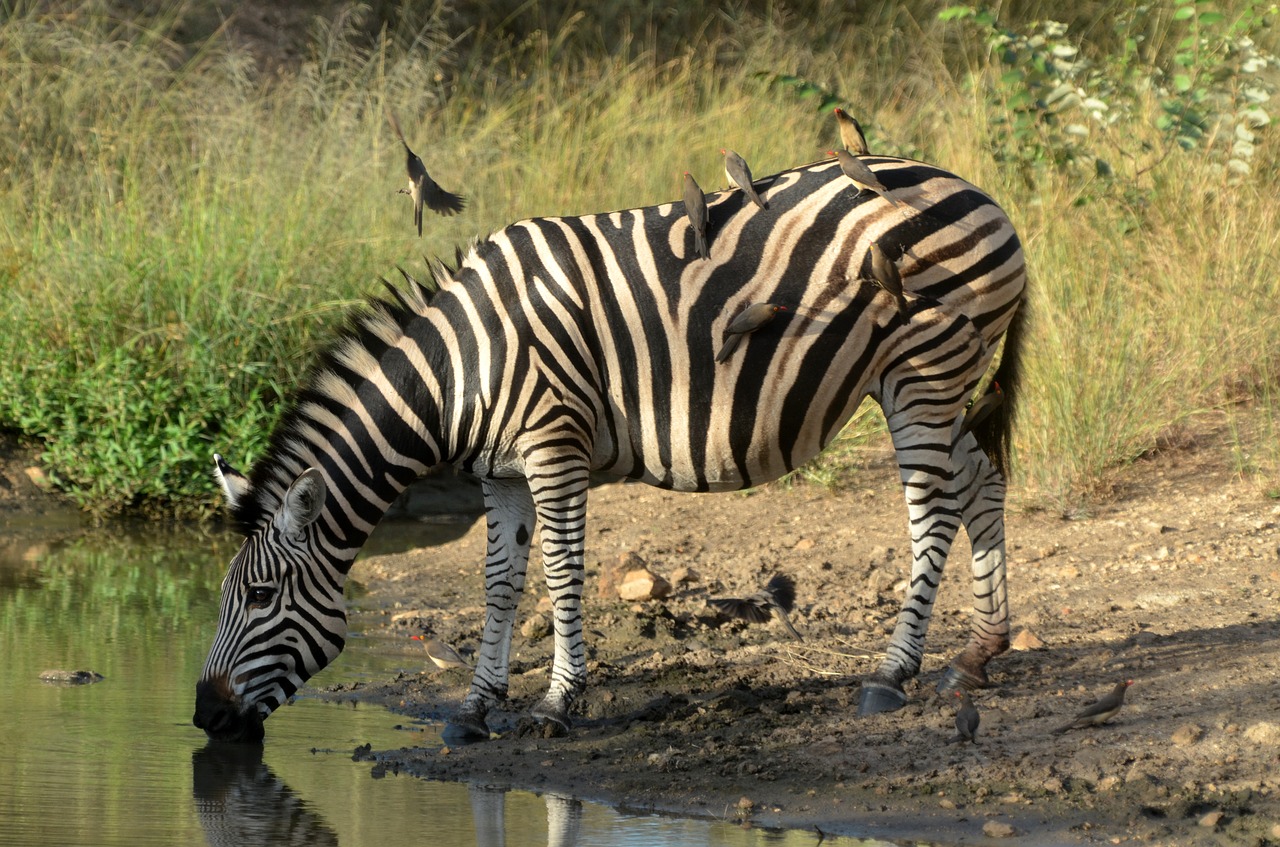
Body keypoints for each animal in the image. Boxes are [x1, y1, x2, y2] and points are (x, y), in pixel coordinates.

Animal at [192, 156, 1029, 747]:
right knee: (982, 483)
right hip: (935, 379)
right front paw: (476, 705)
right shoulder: (500, 474)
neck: (459, 371)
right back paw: (978, 653)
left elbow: (561, 572)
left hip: (922, 368)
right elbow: (500, 582)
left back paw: (894, 672)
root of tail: (984, 193)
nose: (201, 715)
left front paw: (558, 702)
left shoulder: (552, 444)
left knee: (933, 510)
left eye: (259, 598)